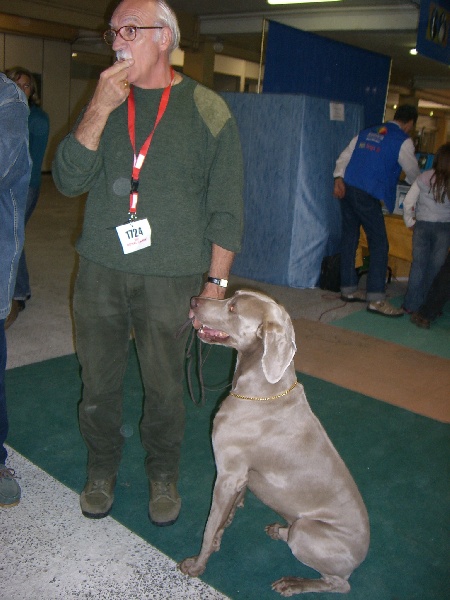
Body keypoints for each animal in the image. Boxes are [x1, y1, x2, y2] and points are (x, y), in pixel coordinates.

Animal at [179, 290, 370, 596]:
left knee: (339, 584)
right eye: (231, 296)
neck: (264, 391)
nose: (194, 300)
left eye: (233, 308)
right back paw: (280, 531)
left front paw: (197, 565)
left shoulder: (227, 475)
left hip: (307, 531)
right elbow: (224, 518)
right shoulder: (240, 478)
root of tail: (359, 559)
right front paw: (220, 537)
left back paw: (293, 583)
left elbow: (209, 526)